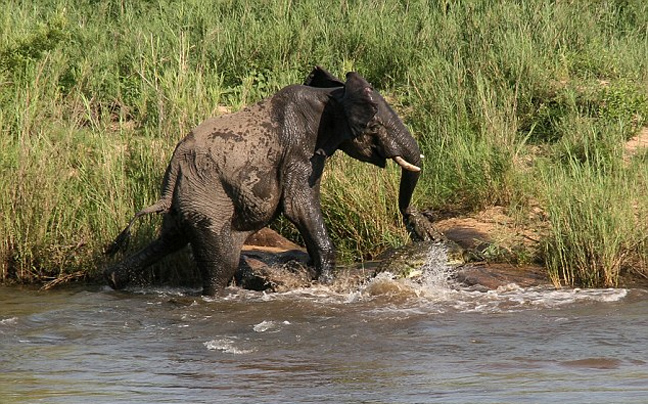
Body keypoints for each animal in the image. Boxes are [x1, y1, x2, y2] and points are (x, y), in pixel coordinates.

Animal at [105, 65, 426, 294]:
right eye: (374, 125)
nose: (415, 222)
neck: (329, 97)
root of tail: (173, 169)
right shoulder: (298, 150)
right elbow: (299, 206)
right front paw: (324, 283)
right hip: (208, 200)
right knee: (219, 266)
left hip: (189, 198)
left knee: (170, 239)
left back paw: (114, 281)